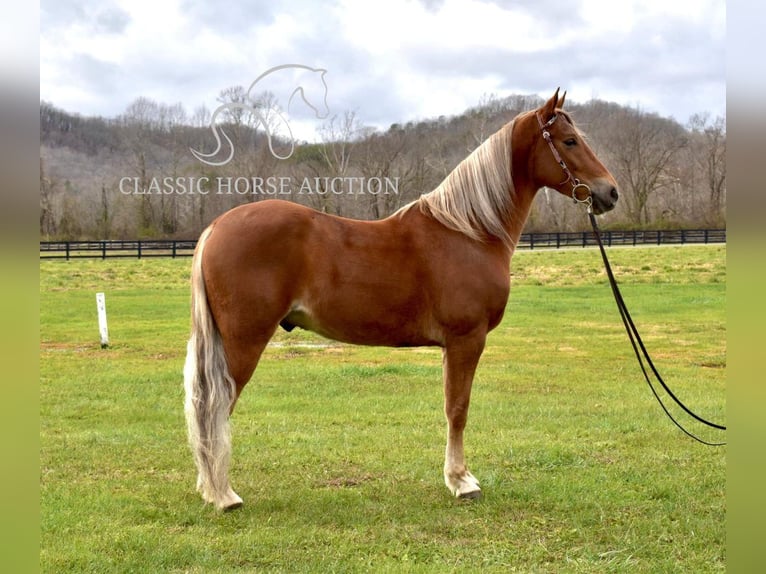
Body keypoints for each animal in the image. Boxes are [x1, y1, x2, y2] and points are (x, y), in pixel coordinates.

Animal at [186, 90, 624, 512]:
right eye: (569, 141)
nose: (610, 192)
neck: (469, 231)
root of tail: (216, 226)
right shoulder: (467, 340)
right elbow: (458, 408)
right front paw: (462, 482)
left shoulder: (453, 346)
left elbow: (451, 406)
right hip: (244, 342)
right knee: (216, 409)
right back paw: (223, 495)